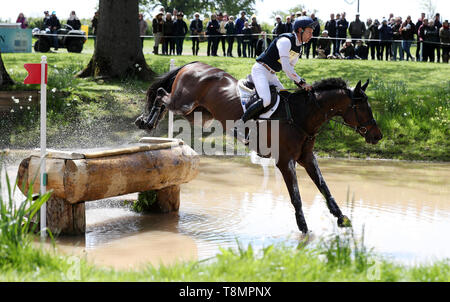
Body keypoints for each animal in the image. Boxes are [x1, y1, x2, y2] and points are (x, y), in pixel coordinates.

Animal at [134, 62, 384, 234]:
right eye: (363, 107)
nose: (377, 136)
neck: (301, 116)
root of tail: (193, 64)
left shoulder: (307, 158)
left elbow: (324, 187)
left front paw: (342, 218)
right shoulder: (285, 162)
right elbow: (296, 196)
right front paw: (304, 229)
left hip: (199, 113)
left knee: (164, 98)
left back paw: (147, 121)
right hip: (184, 103)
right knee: (161, 95)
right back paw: (146, 121)